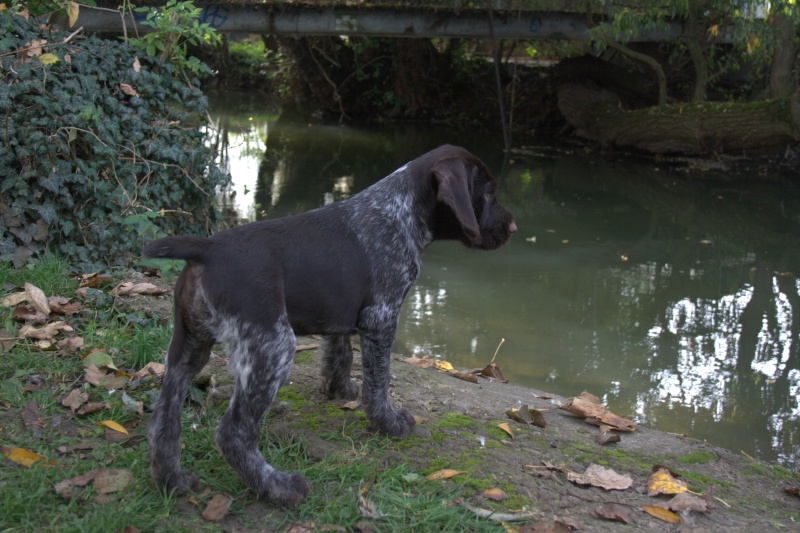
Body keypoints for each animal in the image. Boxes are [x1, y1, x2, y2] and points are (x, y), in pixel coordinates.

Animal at [144, 143, 520, 504]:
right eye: (486, 194)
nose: (514, 228)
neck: (400, 212)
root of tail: (207, 249)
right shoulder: (382, 319)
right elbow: (379, 383)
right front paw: (387, 423)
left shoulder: (341, 311)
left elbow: (340, 351)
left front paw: (339, 388)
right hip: (274, 348)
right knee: (233, 433)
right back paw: (279, 489)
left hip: (187, 348)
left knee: (164, 419)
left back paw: (173, 480)